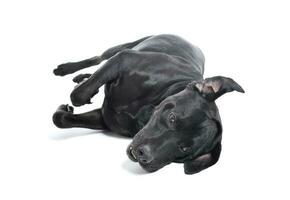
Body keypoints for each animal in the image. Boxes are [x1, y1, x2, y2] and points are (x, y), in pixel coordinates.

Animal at [52, 34, 245, 175]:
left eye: (183, 148)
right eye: (172, 118)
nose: (144, 155)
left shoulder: (106, 119)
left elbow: (60, 118)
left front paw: (65, 109)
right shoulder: (123, 60)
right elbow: (77, 95)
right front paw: (80, 93)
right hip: (123, 48)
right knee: (98, 58)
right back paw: (67, 70)